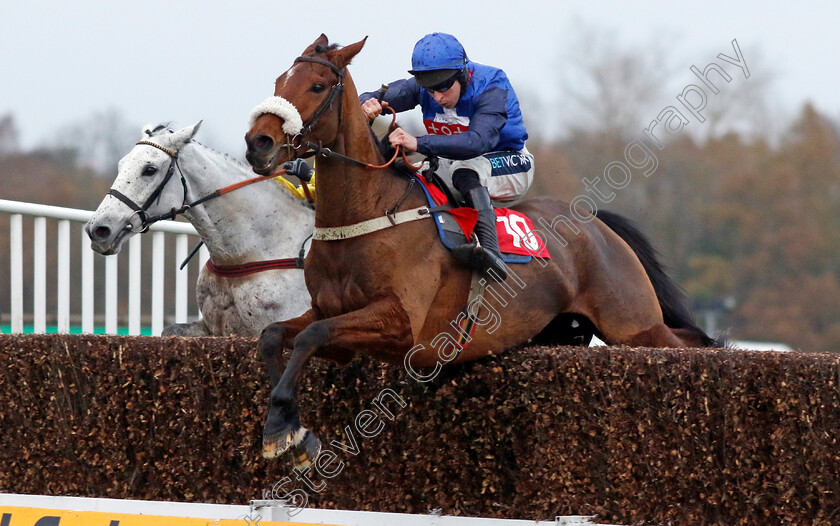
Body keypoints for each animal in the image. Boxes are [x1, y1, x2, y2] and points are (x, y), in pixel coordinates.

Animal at [244, 34, 720, 470]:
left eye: (318, 85)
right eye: (280, 80)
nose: (258, 143)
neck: (370, 214)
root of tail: (597, 224)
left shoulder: (401, 325)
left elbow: (311, 335)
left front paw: (286, 429)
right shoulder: (332, 317)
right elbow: (275, 336)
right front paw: (284, 429)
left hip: (633, 325)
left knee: (687, 343)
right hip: (567, 331)